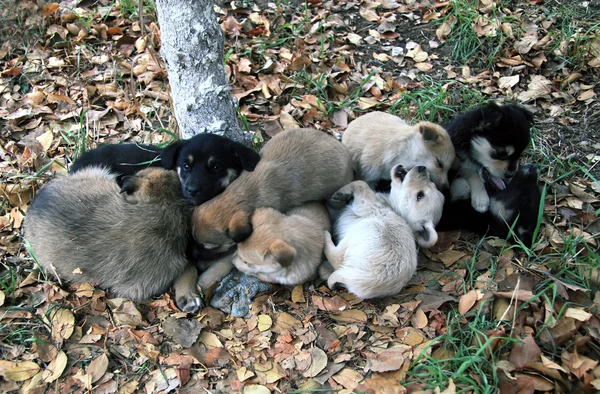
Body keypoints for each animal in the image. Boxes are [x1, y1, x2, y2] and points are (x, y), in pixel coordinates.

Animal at [324, 165, 446, 298]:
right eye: (432, 184)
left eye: (420, 195)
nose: (422, 167)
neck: (393, 208)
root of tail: (365, 279)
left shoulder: (366, 203)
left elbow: (361, 184)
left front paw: (342, 192)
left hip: (367, 228)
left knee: (336, 258)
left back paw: (324, 236)